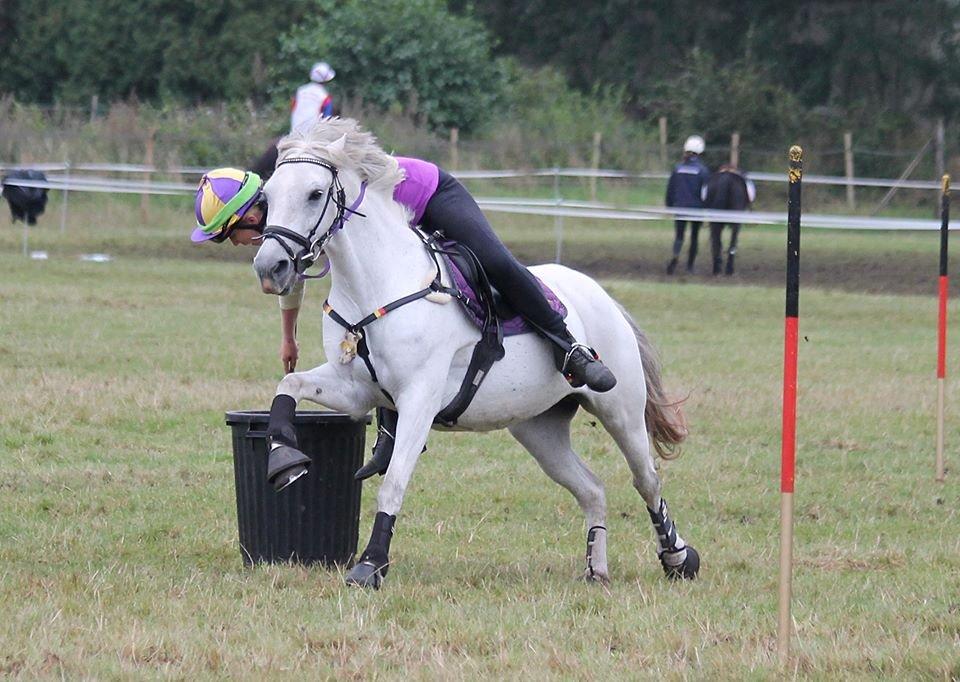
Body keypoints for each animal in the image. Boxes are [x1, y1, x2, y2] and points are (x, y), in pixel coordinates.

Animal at [248, 117, 696, 584]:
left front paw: (371, 564)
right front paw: (283, 457)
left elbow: (393, 483)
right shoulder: (355, 390)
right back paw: (597, 570)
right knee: (592, 489)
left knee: (647, 480)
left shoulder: (419, 400)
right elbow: (289, 384)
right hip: (539, 428)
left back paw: (678, 558)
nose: (270, 268)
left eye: (315, 193)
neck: (378, 284)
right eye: (269, 196)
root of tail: (603, 296)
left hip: (620, 409)